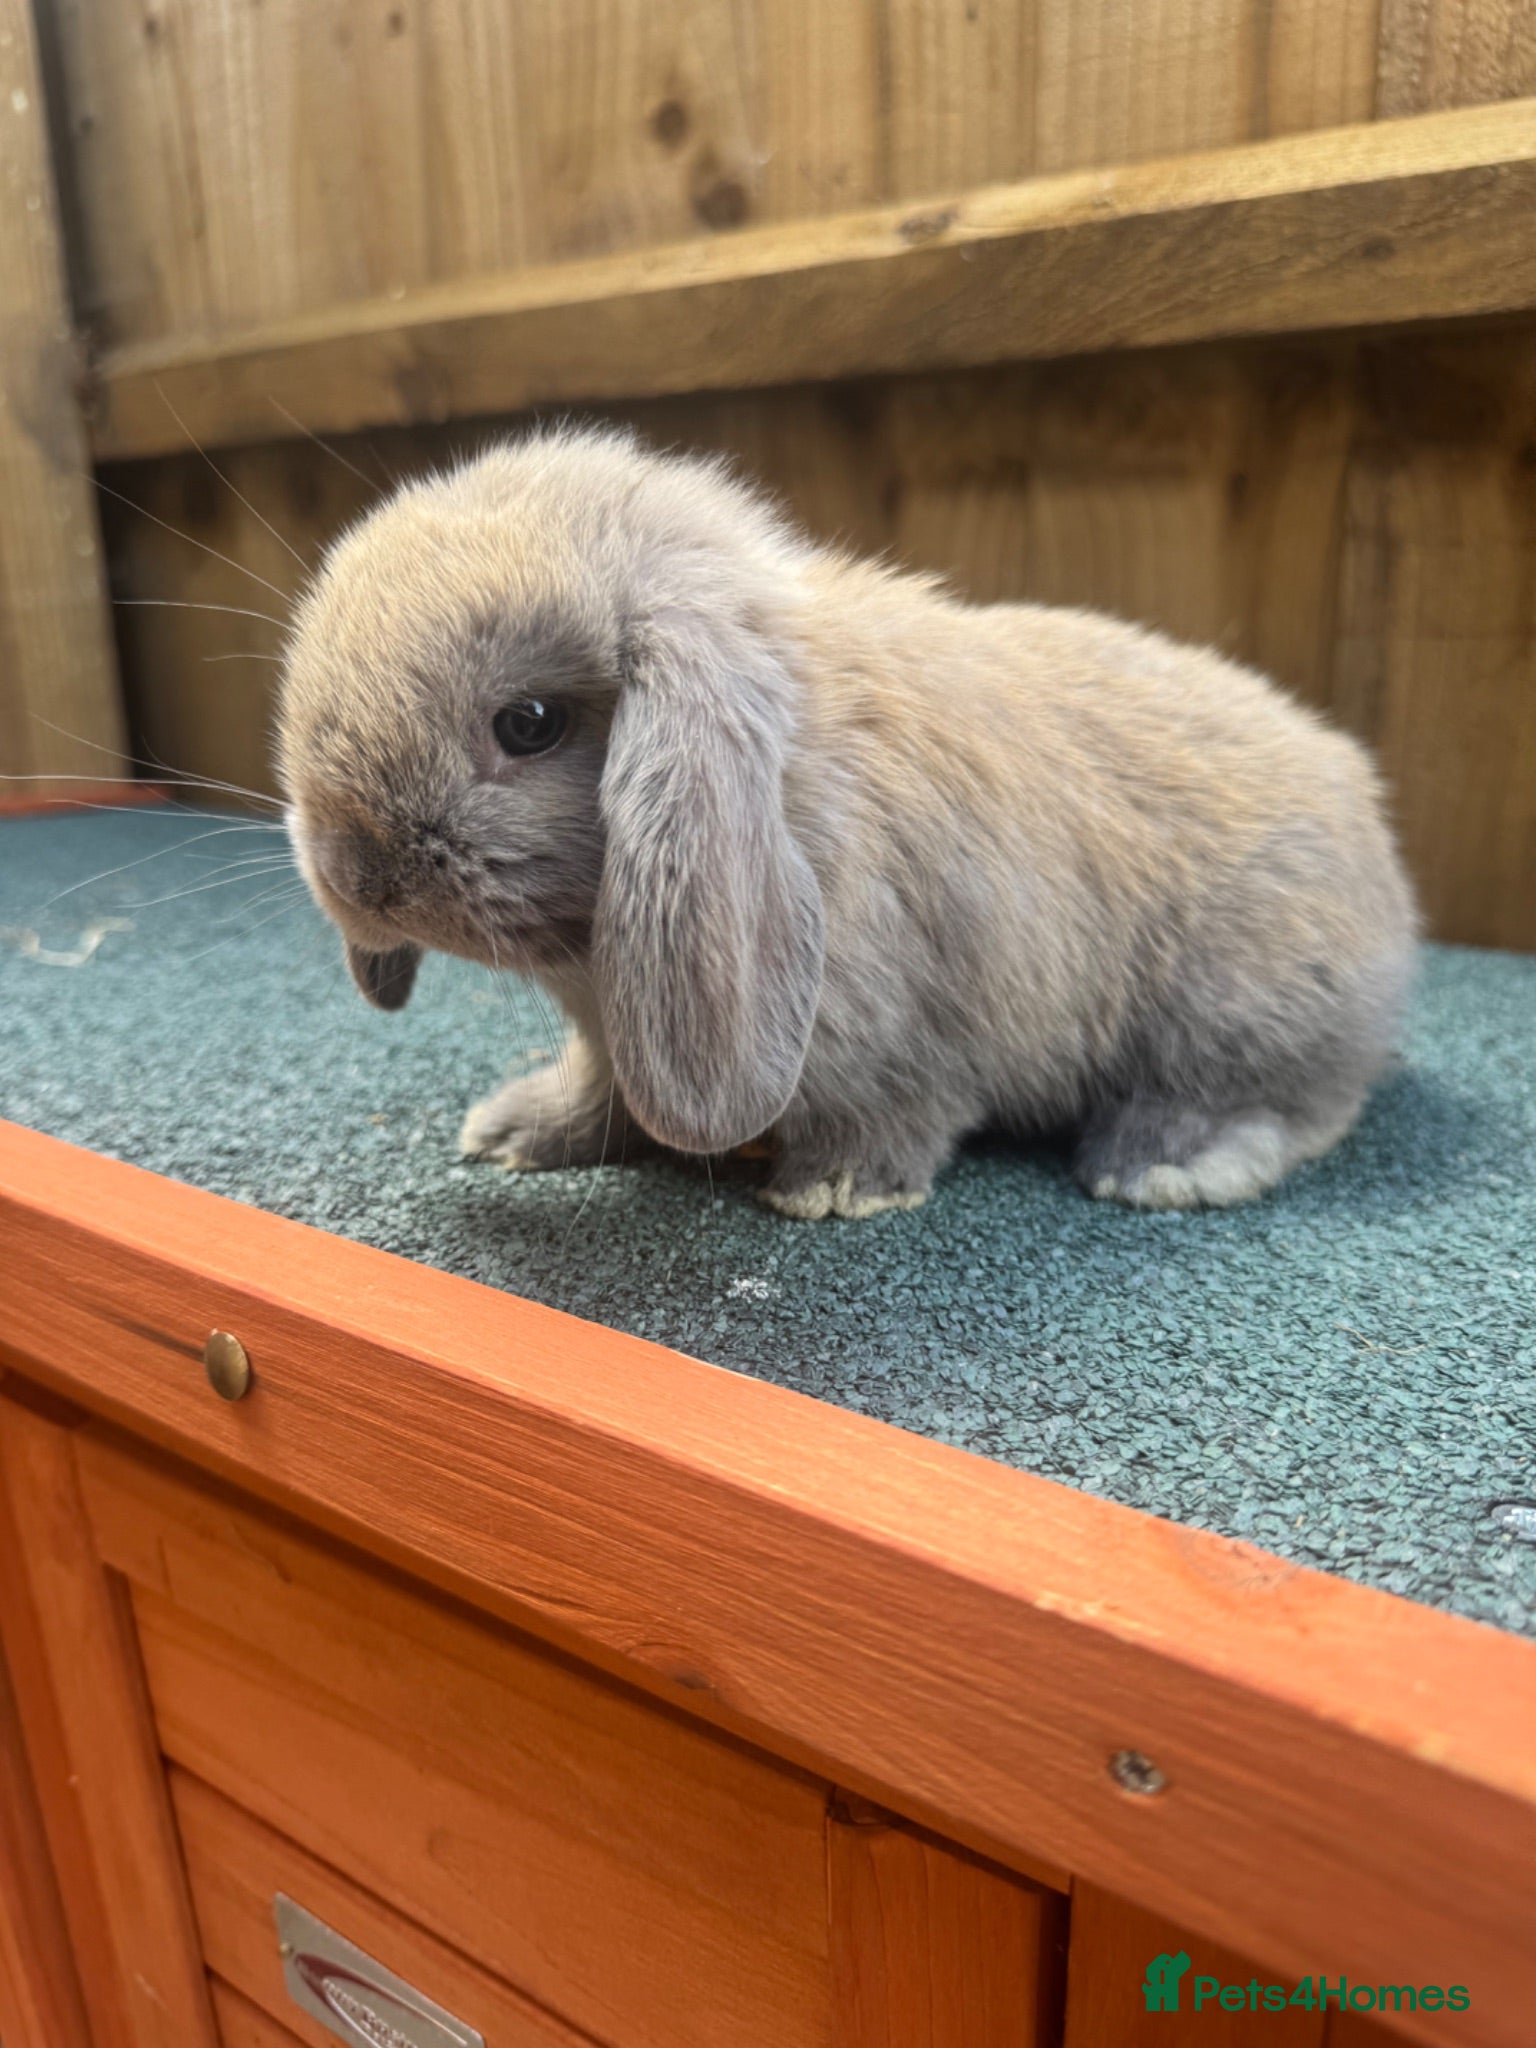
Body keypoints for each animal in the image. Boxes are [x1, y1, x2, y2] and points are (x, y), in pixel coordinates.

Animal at [277, 424, 1417, 1219]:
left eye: (529, 723)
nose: (357, 875)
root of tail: (1371, 824)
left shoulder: (902, 1032)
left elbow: (896, 1111)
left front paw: (832, 1192)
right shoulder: (614, 1039)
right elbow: (603, 1096)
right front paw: (514, 1131)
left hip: (1240, 1007)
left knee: (1294, 1102)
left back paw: (1161, 1163)